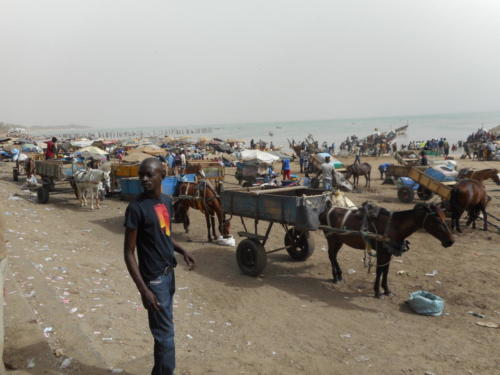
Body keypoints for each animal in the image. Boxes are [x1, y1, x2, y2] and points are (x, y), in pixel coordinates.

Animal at [320, 203, 454, 300]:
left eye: (444, 218)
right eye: (437, 220)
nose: (451, 241)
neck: (394, 226)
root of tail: (326, 210)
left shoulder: (388, 252)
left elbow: (386, 269)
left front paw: (386, 290)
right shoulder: (381, 251)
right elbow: (380, 270)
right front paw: (377, 291)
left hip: (339, 240)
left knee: (334, 256)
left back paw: (339, 275)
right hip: (331, 238)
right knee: (331, 255)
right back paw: (335, 277)